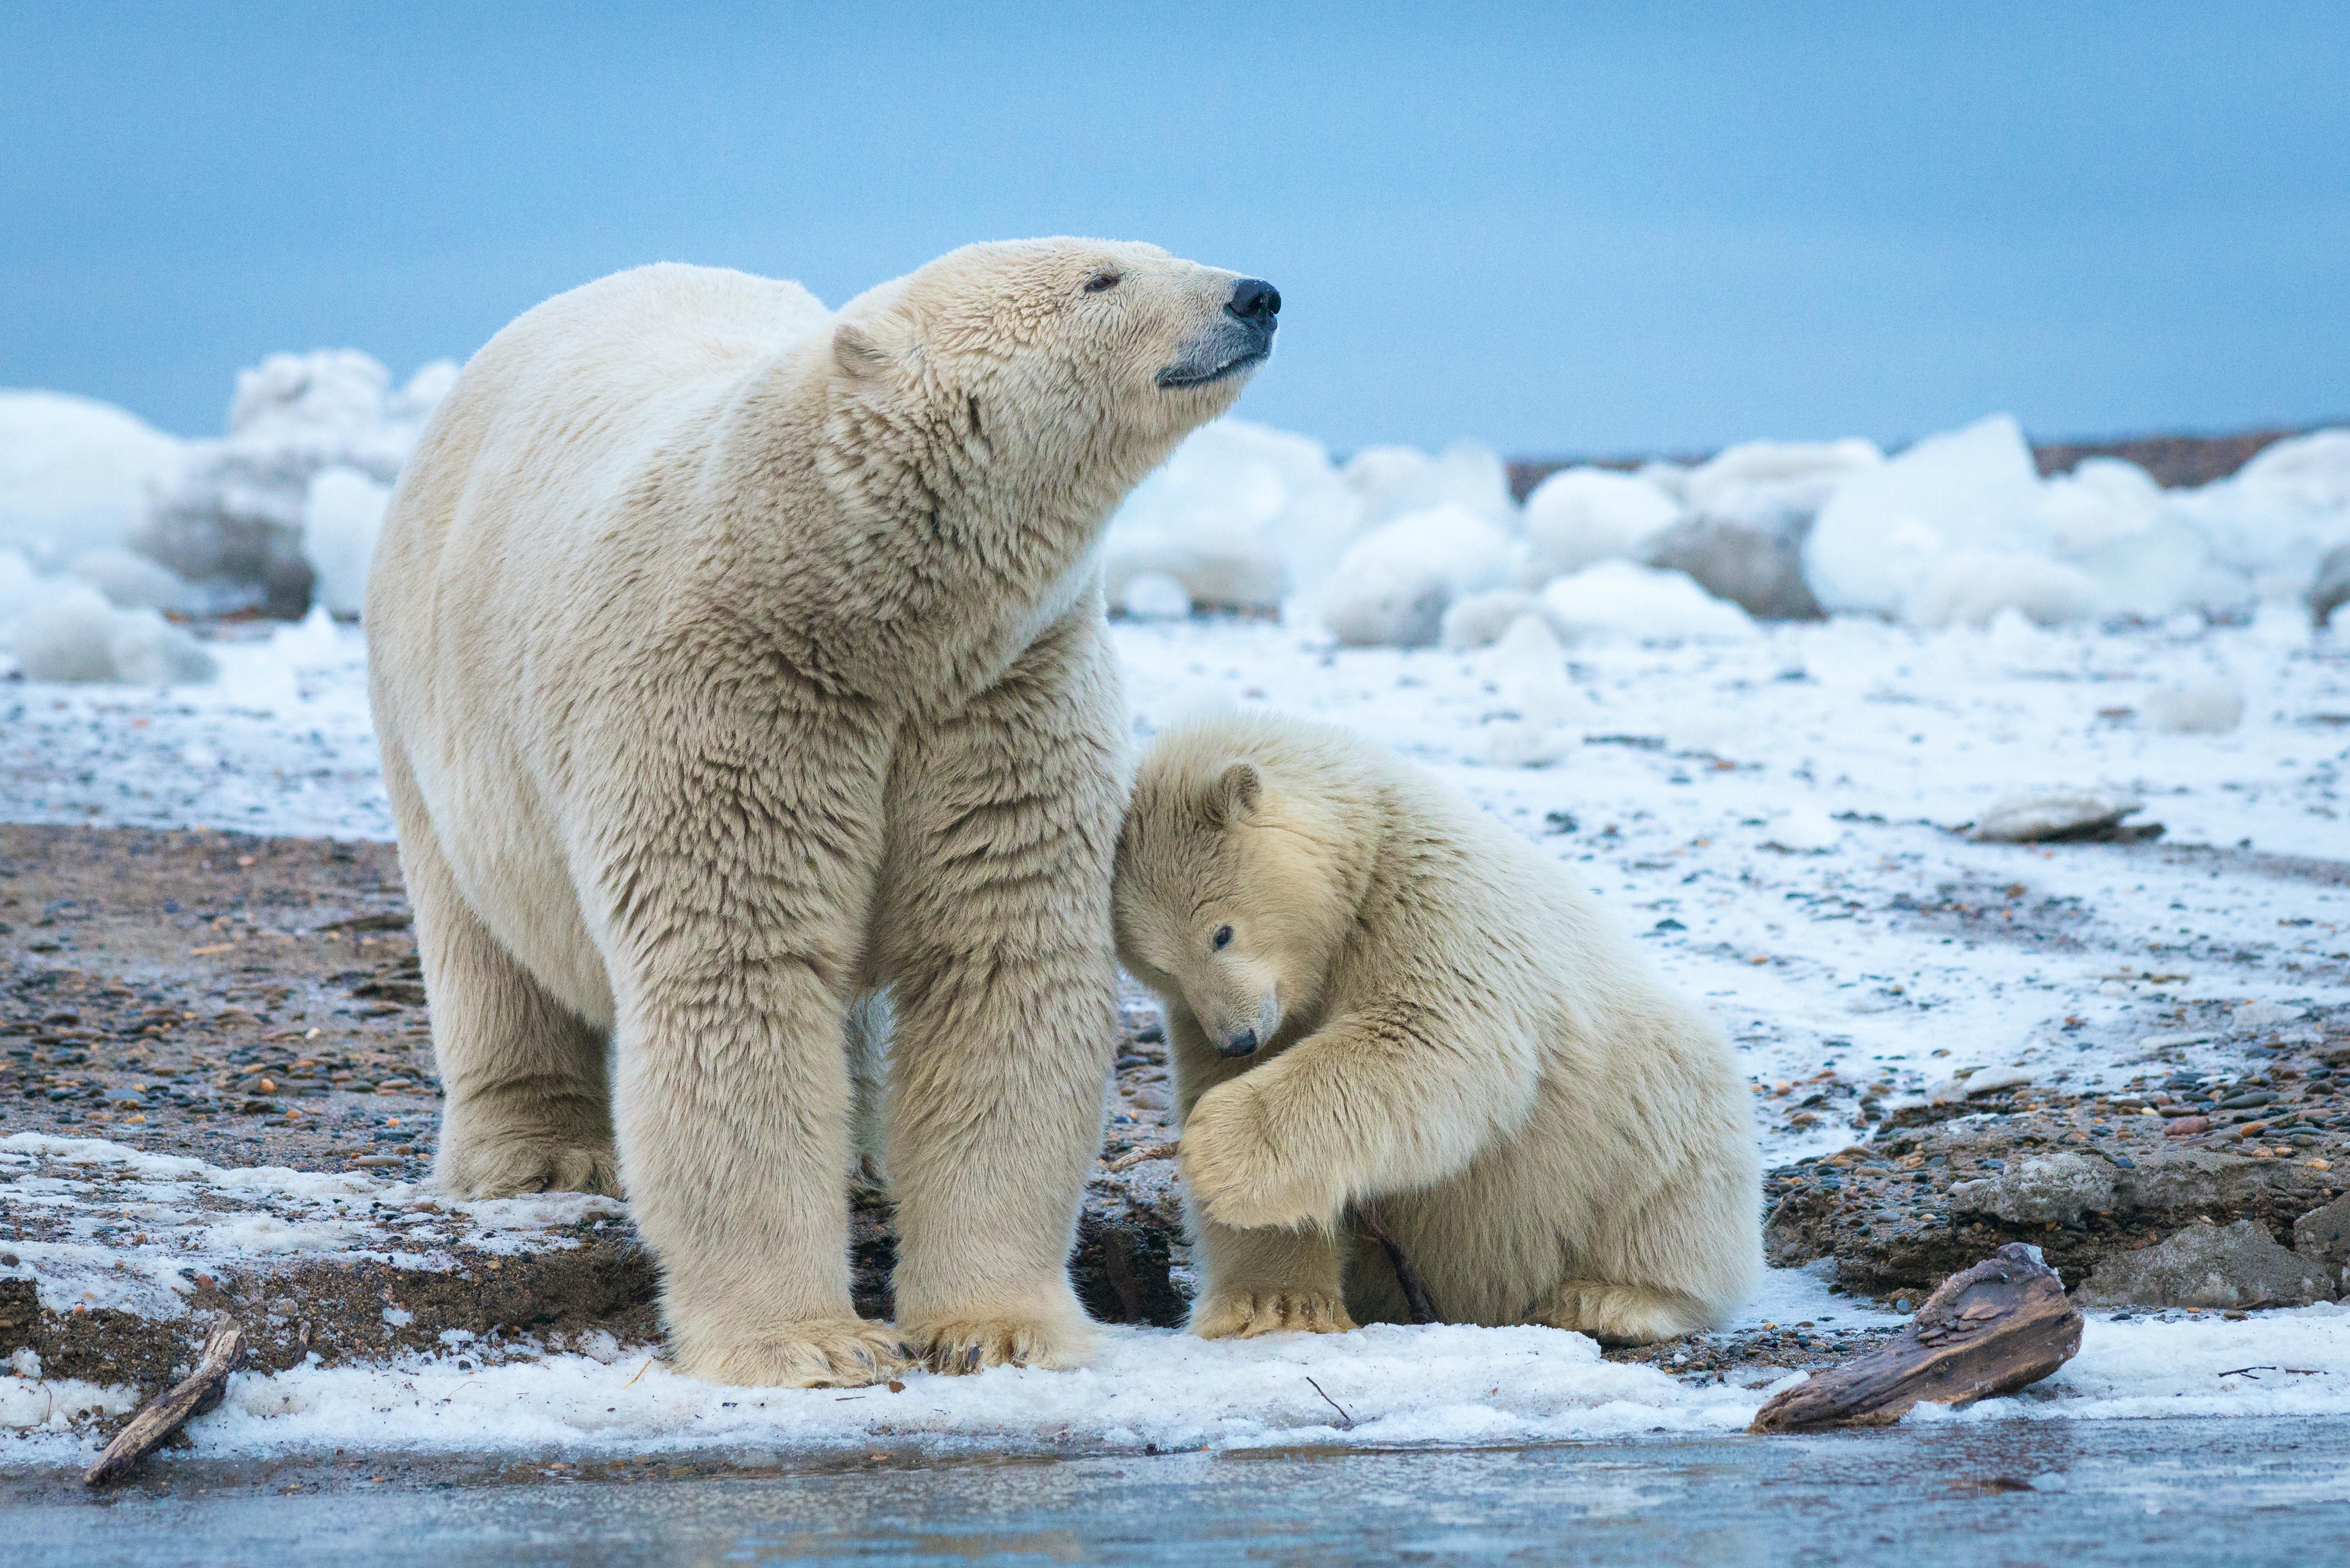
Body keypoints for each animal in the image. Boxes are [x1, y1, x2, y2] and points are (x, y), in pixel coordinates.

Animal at [365, 241, 1280, 1388]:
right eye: (1104, 279)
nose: (1257, 296)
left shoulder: (998, 696)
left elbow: (996, 965)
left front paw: (996, 1327)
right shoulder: (726, 690)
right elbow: (739, 978)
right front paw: (810, 1343)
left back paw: (860, 1161)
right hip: (435, 702)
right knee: (483, 936)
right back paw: (539, 1154)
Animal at [1111, 713, 1761, 1345]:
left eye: (1221, 933)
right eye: (1160, 967)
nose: (1238, 1039)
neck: (1367, 839)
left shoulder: (1429, 897)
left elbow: (1432, 1037)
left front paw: (1213, 1147)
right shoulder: (1216, 1018)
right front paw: (1275, 1305)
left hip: (1634, 1093)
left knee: (1672, 1171)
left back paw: (1611, 1301)